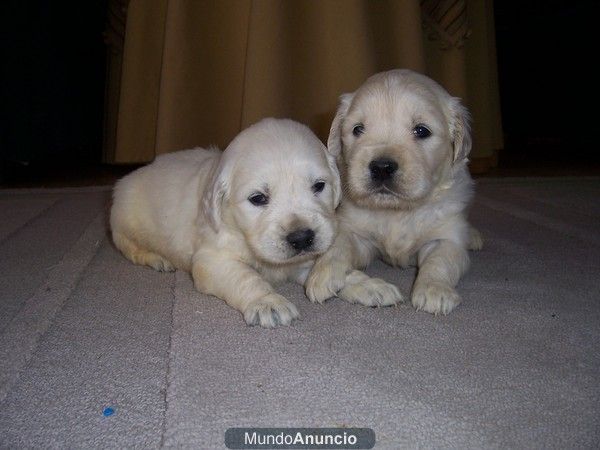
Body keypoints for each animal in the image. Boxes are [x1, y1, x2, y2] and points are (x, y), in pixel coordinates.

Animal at [109, 116, 340, 326]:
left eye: (319, 186)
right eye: (258, 198)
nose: (301, 238)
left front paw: (332, 278)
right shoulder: (213, 260)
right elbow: (244, 275)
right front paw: (268, 303)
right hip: (124, 221)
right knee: (131, 248)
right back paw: (158, 259)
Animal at [310, 71, 482, 316]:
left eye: (422, 130)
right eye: (358, 129)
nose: (382, 167)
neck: (397, 210)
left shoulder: (446, 237)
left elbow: (440, 261)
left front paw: (434, 290)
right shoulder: (356, 232)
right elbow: (338, 245)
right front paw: (322, 275)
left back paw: (474, 237)